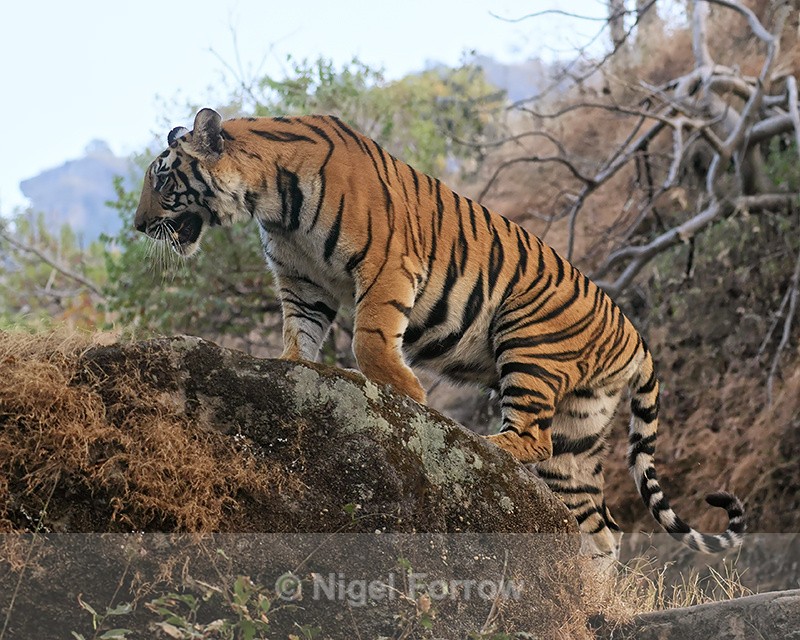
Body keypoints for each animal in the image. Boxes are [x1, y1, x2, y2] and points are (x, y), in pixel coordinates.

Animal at [133, 107, 745, 557]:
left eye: (162, 179)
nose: (138, 226)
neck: (270, 199)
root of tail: (636, 337)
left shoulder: (385, 267)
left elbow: (369, 340)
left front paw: (409, 396)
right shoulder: (301, 282)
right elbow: (297, 338)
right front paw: (294, 368)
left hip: (526, 341)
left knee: (532, 437)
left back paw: (481, 443)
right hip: (580, 429)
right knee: (600, 522)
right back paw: (595, 597)